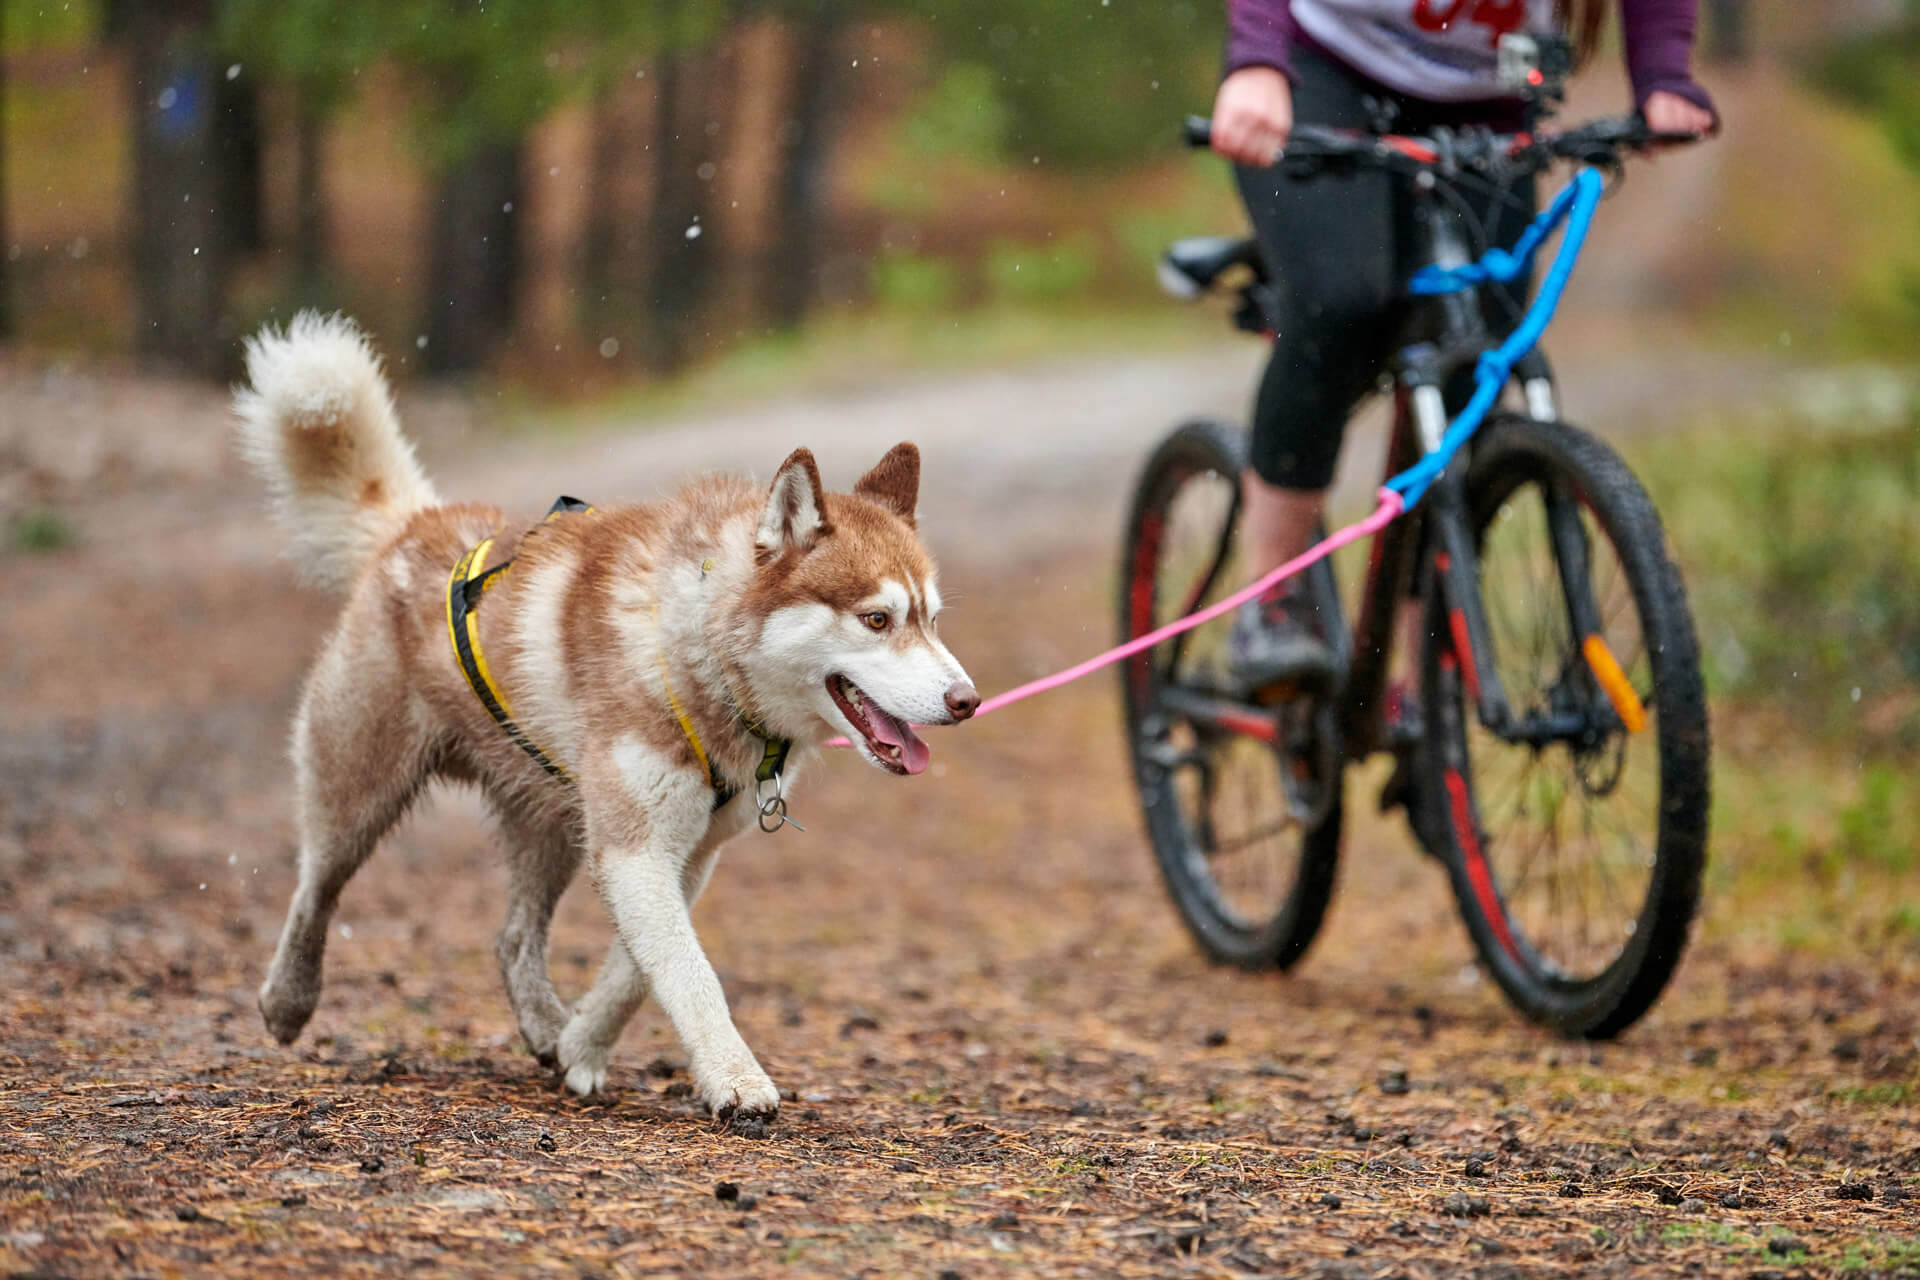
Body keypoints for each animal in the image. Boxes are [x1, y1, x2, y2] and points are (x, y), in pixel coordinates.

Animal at [238, 312, 975, 1120]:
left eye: (933, 620)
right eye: (877, 619)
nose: (966, 700)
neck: (696, 656)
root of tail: (416, 522)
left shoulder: (686, 856)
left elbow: (634, 974)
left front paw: (581, 1048)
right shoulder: (635, 849)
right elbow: (689, 972)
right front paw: (736, 1079)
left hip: (556, 825)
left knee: (512, 938)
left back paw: (542, 1024)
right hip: (359, 792)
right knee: (315, 887)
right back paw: (287, 999)